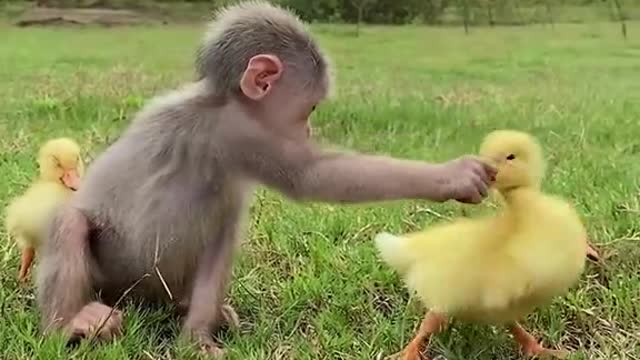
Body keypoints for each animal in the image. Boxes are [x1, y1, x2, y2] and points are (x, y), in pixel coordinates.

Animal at [35, 0, 498, 358]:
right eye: (309, 109)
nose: (308, 129)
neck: (222, 99)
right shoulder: (240, 133)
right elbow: (311, 176)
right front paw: (454, 175)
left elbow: (225, 233)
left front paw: (197, 338)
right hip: (110, 276)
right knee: (70, 222)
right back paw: (70, 324)